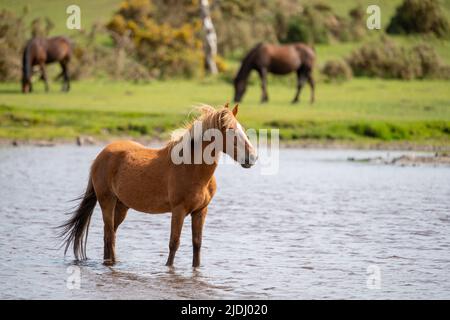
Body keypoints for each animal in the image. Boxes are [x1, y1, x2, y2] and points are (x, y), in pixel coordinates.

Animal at [60, 104, 258, 266]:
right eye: (231, 131)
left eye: (242, 129)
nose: (253, 157)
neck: (191, 168)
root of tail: (100, 156)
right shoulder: (178, 210)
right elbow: (174, 243)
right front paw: (168, 269)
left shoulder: (200, 211)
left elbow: (197, 244)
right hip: (107, 201)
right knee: (109, 236)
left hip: (122, 206)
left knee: (110, 235)